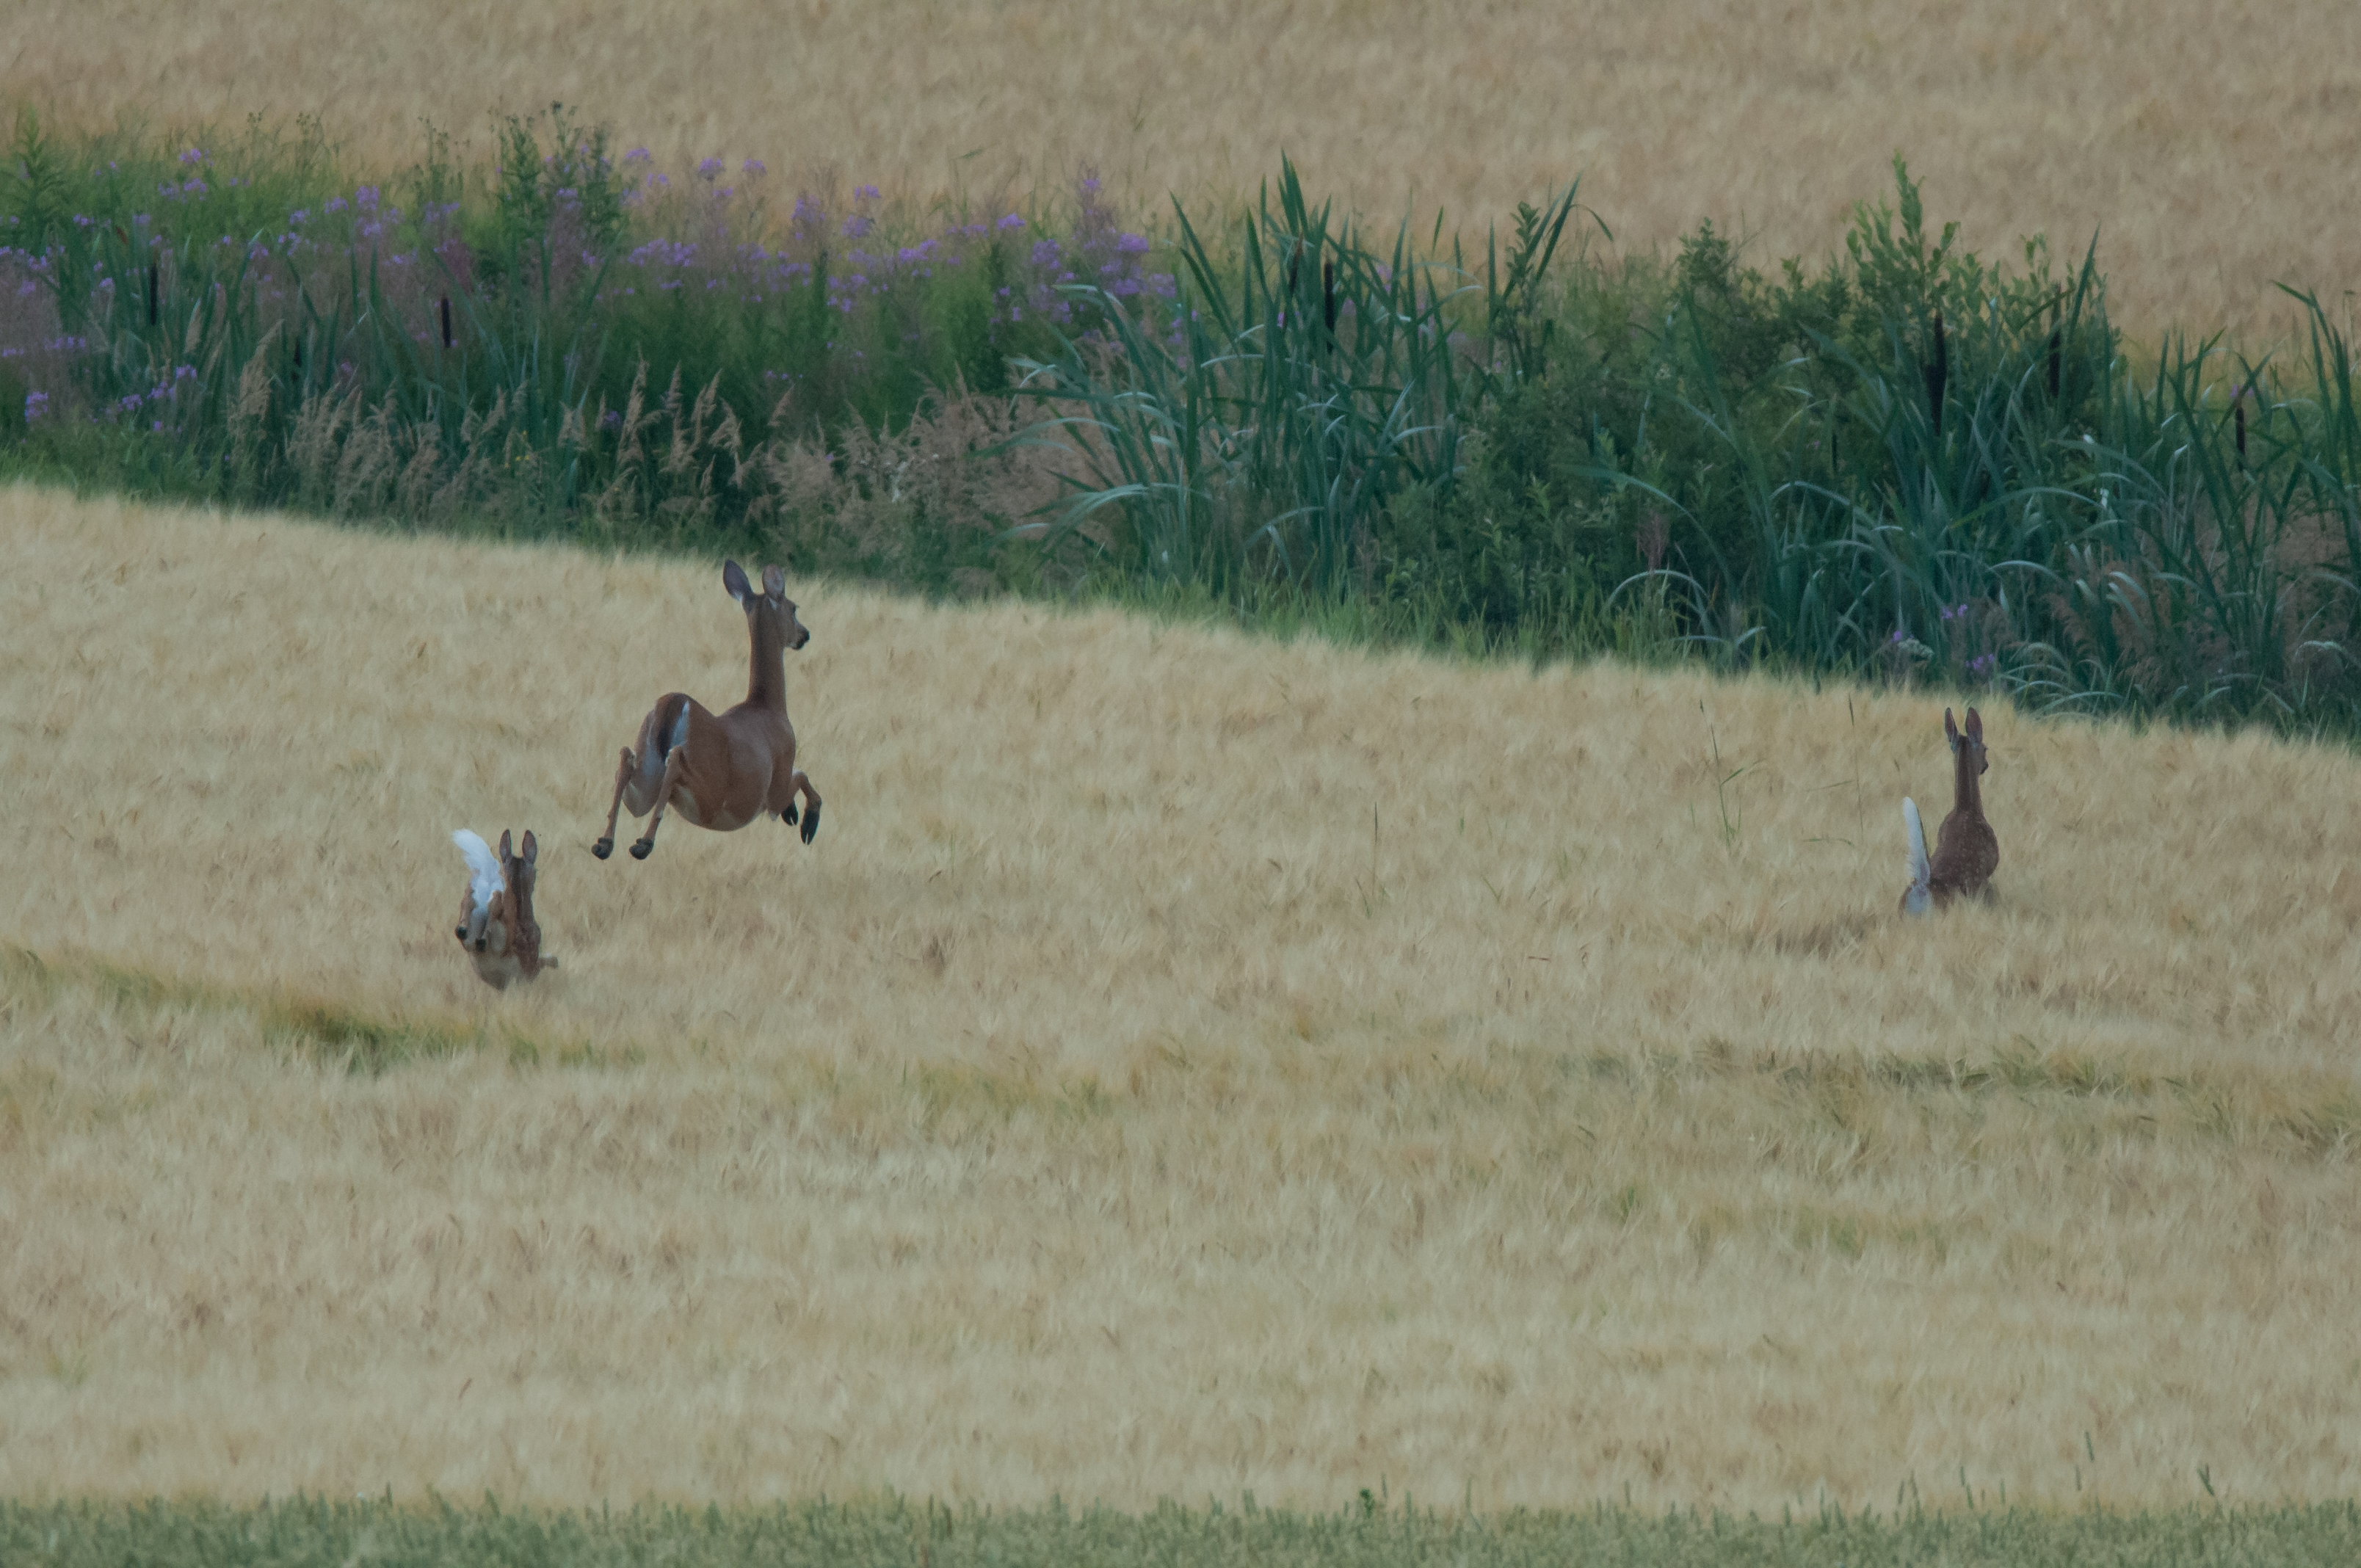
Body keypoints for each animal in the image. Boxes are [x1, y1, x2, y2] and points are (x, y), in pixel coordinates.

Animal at [590, 559, 822, 864]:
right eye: (794, 608)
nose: (805, 635)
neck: (768, 706)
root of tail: (673, 704)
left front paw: (795, 814)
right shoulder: (775, 787)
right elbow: (802, 774)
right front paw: (803, 820)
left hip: (647, 779)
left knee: (627, 759)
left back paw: (605, 843)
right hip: (709, 797)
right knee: (675, 762)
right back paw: (643, 843)